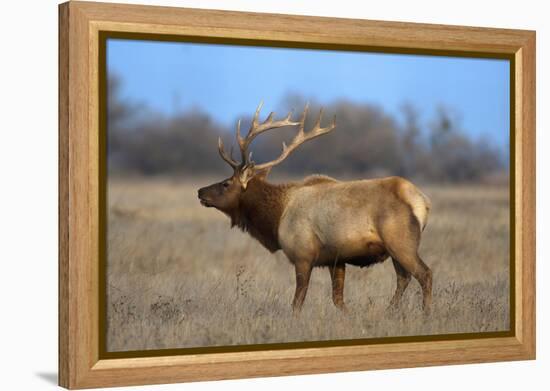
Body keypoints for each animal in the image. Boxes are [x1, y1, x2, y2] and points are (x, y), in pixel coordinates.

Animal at [199, 103, 436, 316]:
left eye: (226, 183)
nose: (200, 192)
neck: (276, 217)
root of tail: (422, 202)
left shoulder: (303, 254)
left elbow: (297, 303)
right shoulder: (336, 259)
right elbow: (338, 300)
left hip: (401, 242)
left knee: (425, 274)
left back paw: (425, 314)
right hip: (395, 248)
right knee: (404, 278)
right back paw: (390, 311)